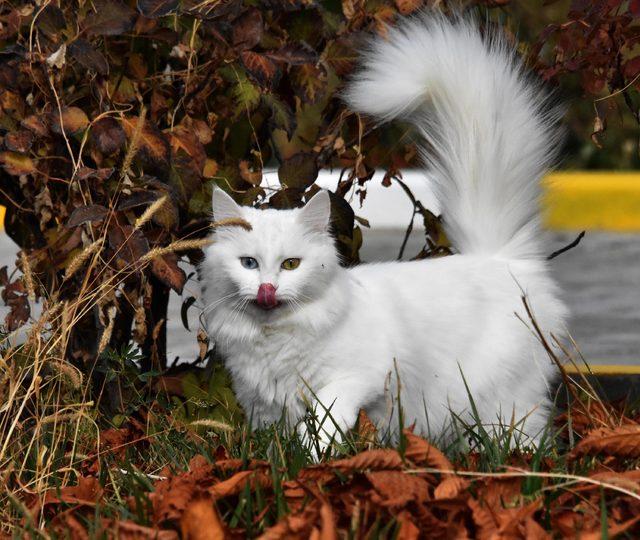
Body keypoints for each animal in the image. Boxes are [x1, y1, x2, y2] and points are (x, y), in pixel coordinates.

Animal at [202, 13, 568, 452]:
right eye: (249, 263)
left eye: (291, 264)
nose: (267, 289)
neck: (274, 340)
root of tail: (500, 257)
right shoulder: (264, 405)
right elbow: (275, 442)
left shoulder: (357, 376)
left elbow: (322, 422)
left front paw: (313, 455)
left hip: (501, 400)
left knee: (523, 434)